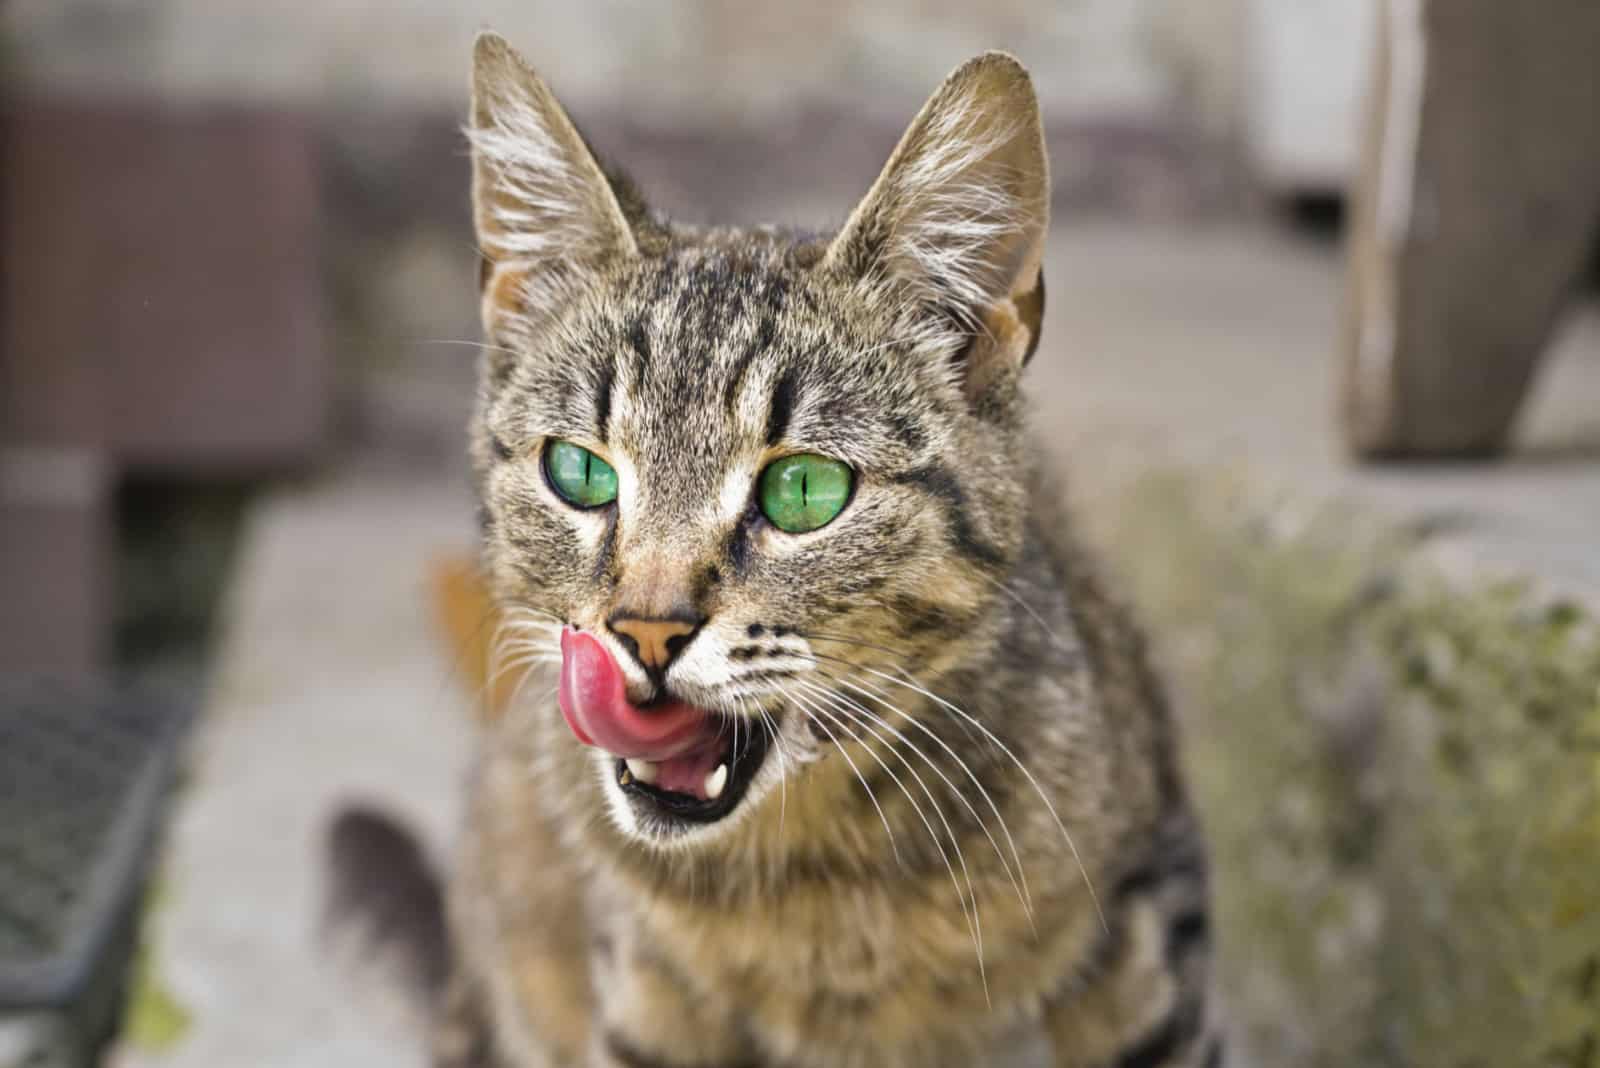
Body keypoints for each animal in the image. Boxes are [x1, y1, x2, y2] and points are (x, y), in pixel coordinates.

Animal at [331, 33, 1216, 1068]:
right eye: (579, 472)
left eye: (804, 491)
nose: (645, 632)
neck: (813, 881)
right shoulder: (640, 985)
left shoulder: (1150, 933)